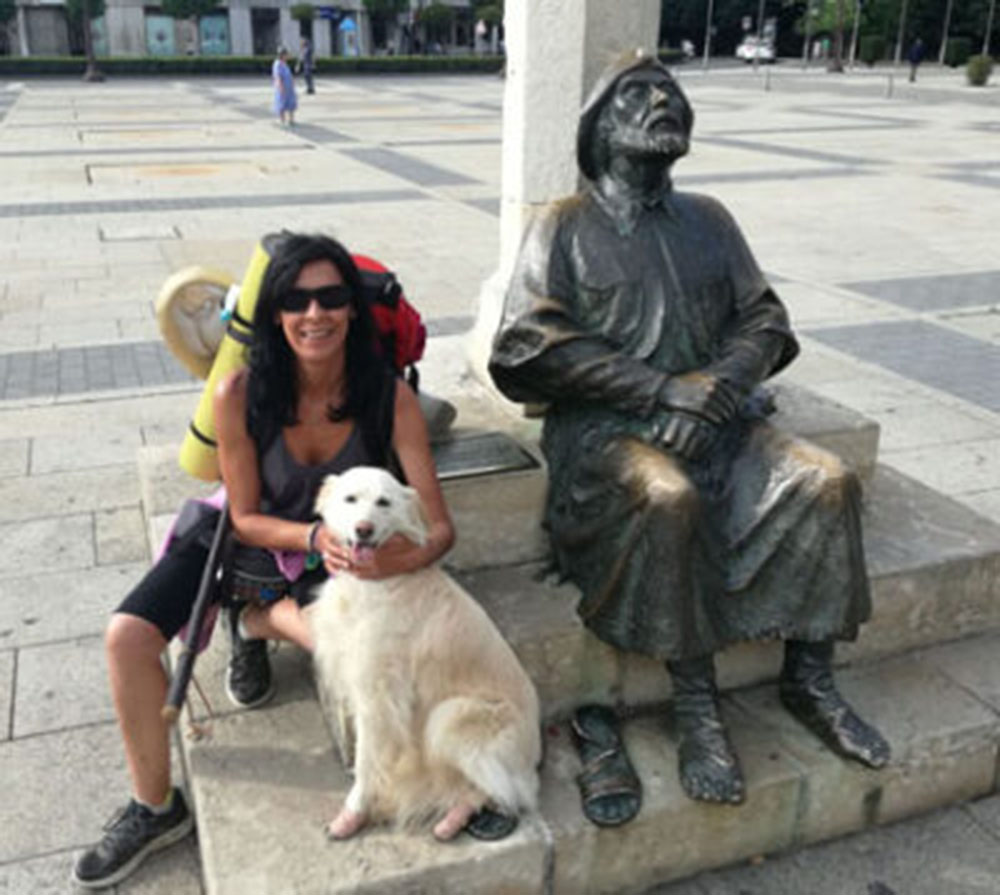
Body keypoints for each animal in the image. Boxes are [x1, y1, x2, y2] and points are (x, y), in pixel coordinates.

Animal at [310, 466, 540, 844]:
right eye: (351, 499)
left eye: (383, 502)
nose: (363, 529)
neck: (374, 583)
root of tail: (534, 758)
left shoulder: (378, 696)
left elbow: (366, 759)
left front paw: (354, 810)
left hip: (449, 717)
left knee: (503, 792)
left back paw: (453, 817)